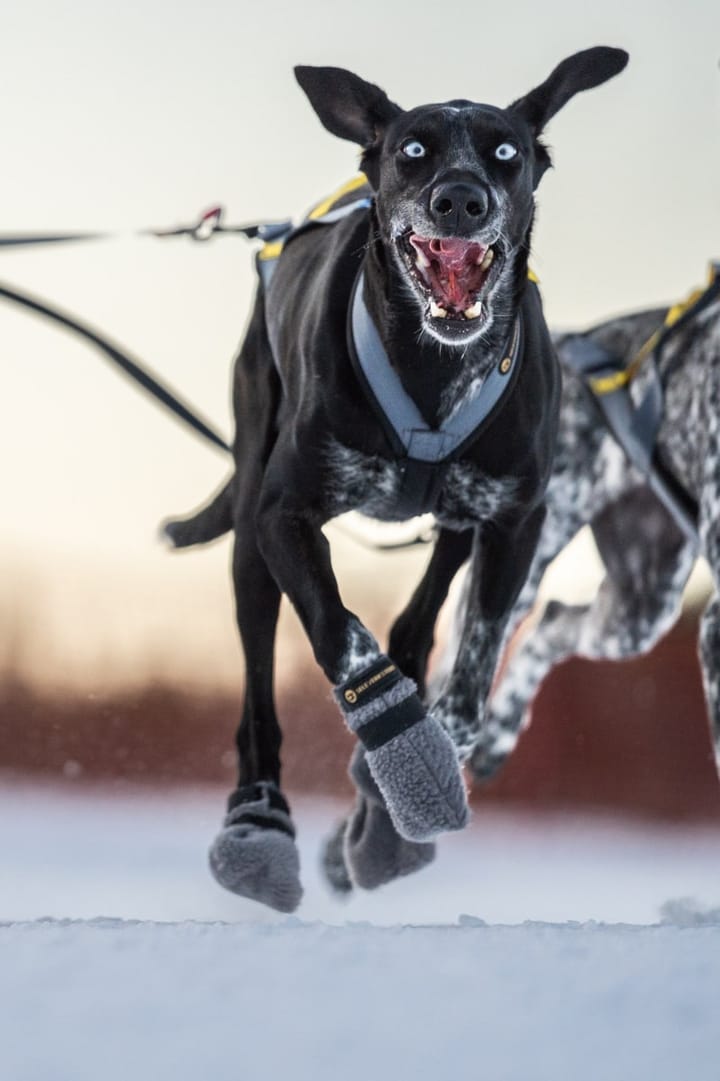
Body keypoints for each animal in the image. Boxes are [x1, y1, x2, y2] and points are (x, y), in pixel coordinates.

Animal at [165, 50, 627, 912]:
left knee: (420, 620)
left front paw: (406, 788)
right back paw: (257, 819)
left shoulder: (515, 519)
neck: (432, 367)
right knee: (258, 689)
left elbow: (472, 664)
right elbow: (340, 632)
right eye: (413, 148)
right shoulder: (284, 514)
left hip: (456, 523)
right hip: (251, 525)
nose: (461, 198)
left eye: (506, 150)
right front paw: (398, 742)